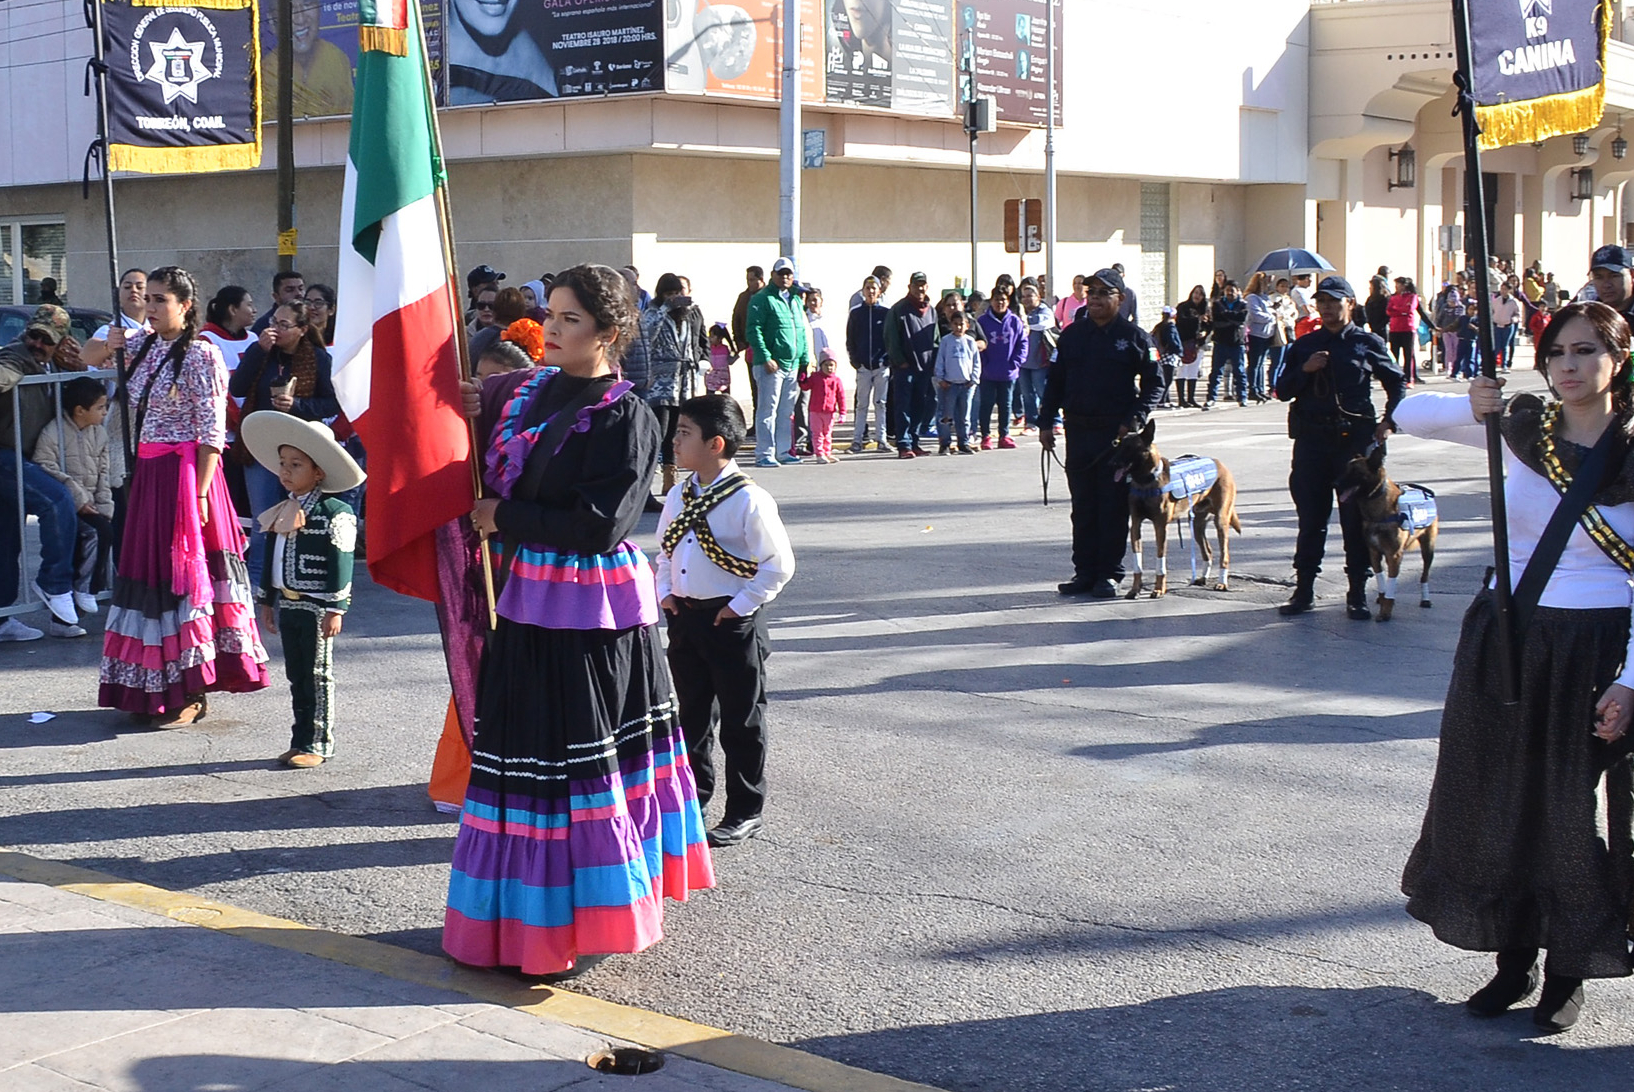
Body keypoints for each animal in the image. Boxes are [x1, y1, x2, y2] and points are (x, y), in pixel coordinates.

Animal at [1117, 421, 1241, 601]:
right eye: (1118, 446)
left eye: (1130, 448)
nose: (1112, 463)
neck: (1145, 481)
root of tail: (1219, 463)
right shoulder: (1135, 525)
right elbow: (1137, 563)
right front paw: (1135, 589)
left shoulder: (1160, 526)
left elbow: (1160, 561)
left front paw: (1159, 589)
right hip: (1196, 526)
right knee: (1208, 552)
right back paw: (1203, 577)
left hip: (1220, 522)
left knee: (1224, 555)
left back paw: (1222, 583)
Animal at [1333, 441, 1437, 614]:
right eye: (1346, 470)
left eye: (1356, 472)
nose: (1335, 484)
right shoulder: (1375, 553)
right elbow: (1382, 579)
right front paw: (1382, 600)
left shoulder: (1393, 554)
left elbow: (1390, 584)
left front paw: (1385, 612)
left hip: (1428, 549)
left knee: (1424, 575)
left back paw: (1426, 599)